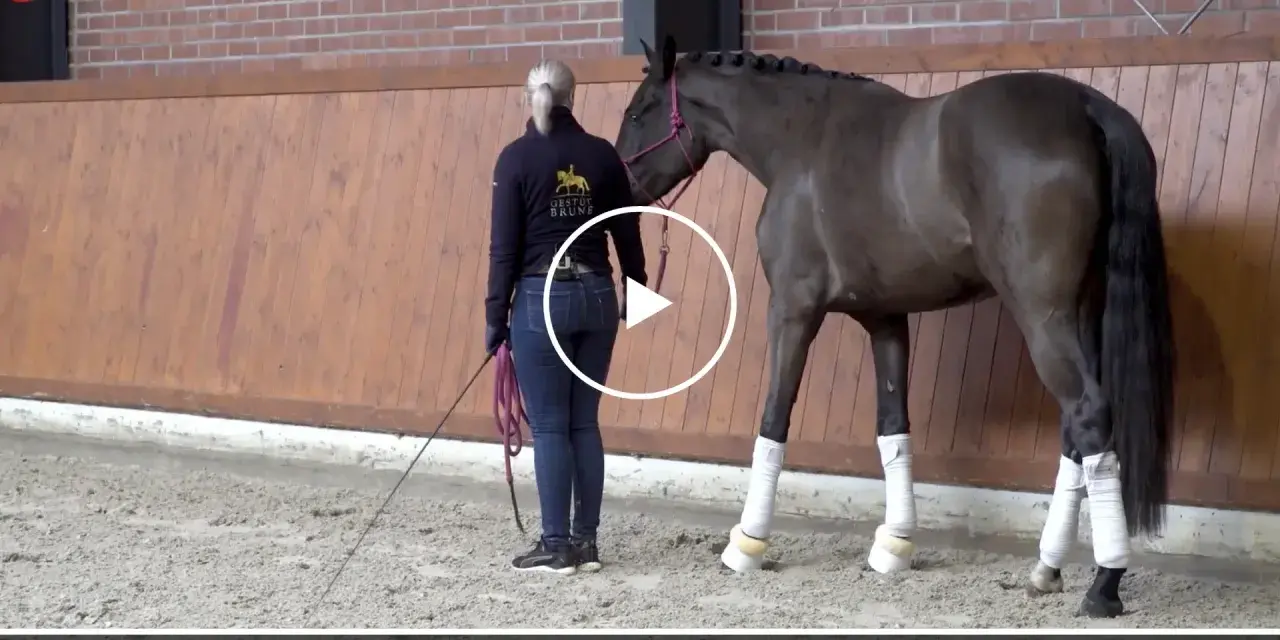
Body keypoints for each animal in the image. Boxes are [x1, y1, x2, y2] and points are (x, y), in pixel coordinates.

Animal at [614, 36, 1174, 619]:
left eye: (637, 111)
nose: (618, 186)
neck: (803, 140)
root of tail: (1087, 107)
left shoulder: (792, 309)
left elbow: (773, 420)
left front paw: (747, 543)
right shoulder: (885, 318)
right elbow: (893, 427)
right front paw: (895, 545)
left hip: (1043, 314)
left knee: (1087, 413)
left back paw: (1104, 583)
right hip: (1079, 313)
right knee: (1077, 430)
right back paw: (1046, 569)